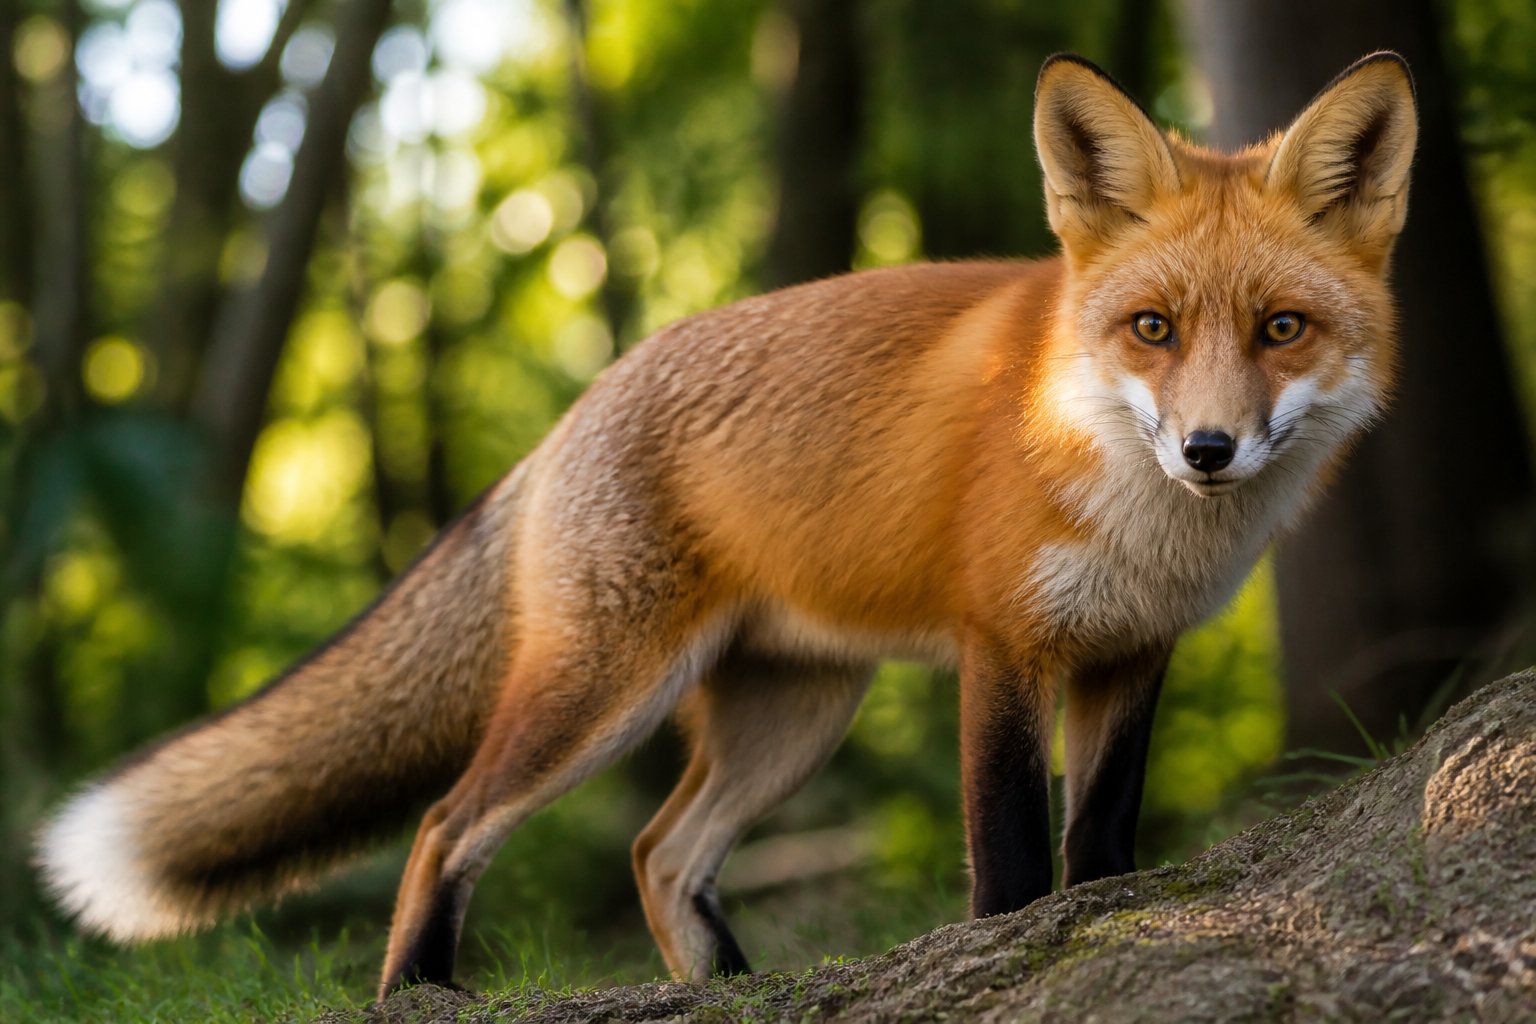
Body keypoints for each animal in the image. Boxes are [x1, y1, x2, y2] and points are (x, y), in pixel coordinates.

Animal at [37, 52, 1417, 997]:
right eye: (1153, 329)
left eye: (1281, 329)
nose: (1207, 449)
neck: (1135, 510)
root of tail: (572, 414)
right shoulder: (1002, 649)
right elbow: (1014, 862)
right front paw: (1012, 944)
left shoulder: (1132, 654)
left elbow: (1106, 843)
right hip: (604, 693)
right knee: (447, 824)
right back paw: (421, 993)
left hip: (793, 714)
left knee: (660, 851)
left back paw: (730, 987)